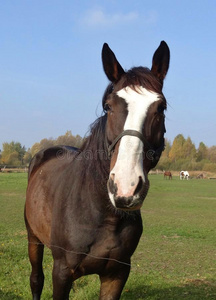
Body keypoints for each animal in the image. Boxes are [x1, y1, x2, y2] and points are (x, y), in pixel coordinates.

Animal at [24, 40, 170, 300]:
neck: (102, 215)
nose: (125, 188)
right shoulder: (61, 273)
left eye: (160, 108)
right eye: (108, 106)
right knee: (36, 280)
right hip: (33, 237)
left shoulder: (116, 274)